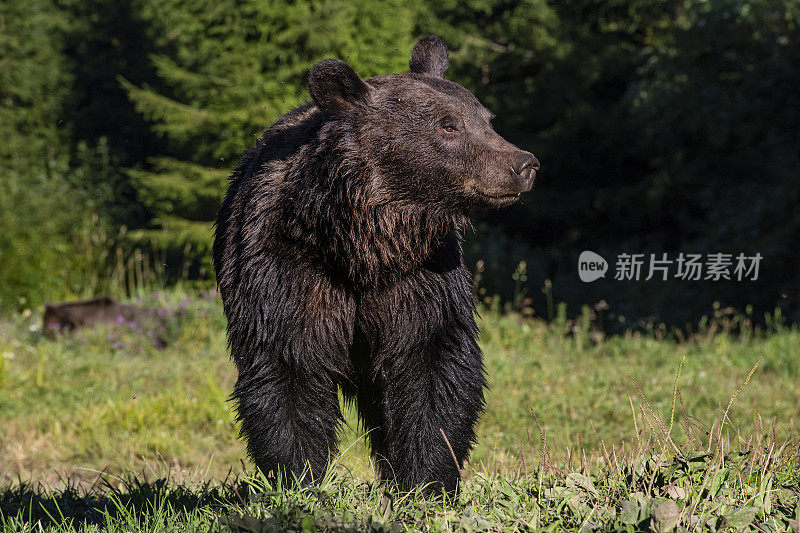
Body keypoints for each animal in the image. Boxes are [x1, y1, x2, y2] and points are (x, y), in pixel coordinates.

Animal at [212, 36, 536, 494]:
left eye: (487, 119)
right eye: (447, 125)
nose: (523, 164)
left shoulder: (421, 277)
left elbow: (430, 364)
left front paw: (427, 479)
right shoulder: (287, 271)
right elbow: (288, 364)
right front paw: (298, 476)